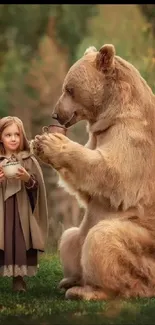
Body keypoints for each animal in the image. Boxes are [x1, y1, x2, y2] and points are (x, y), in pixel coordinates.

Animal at [33, 44, 155, 300]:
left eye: (69, 89)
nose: (56, 115)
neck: (112, 113)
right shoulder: (99, 135)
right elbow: (88, 192)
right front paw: (38, 142)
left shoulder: (133, 136)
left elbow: (113, 173)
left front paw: (52, 142)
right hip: (79, 236)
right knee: (70, 238)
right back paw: (69, 280)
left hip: (145, 246)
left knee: (103, 239)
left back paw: (89, 290)